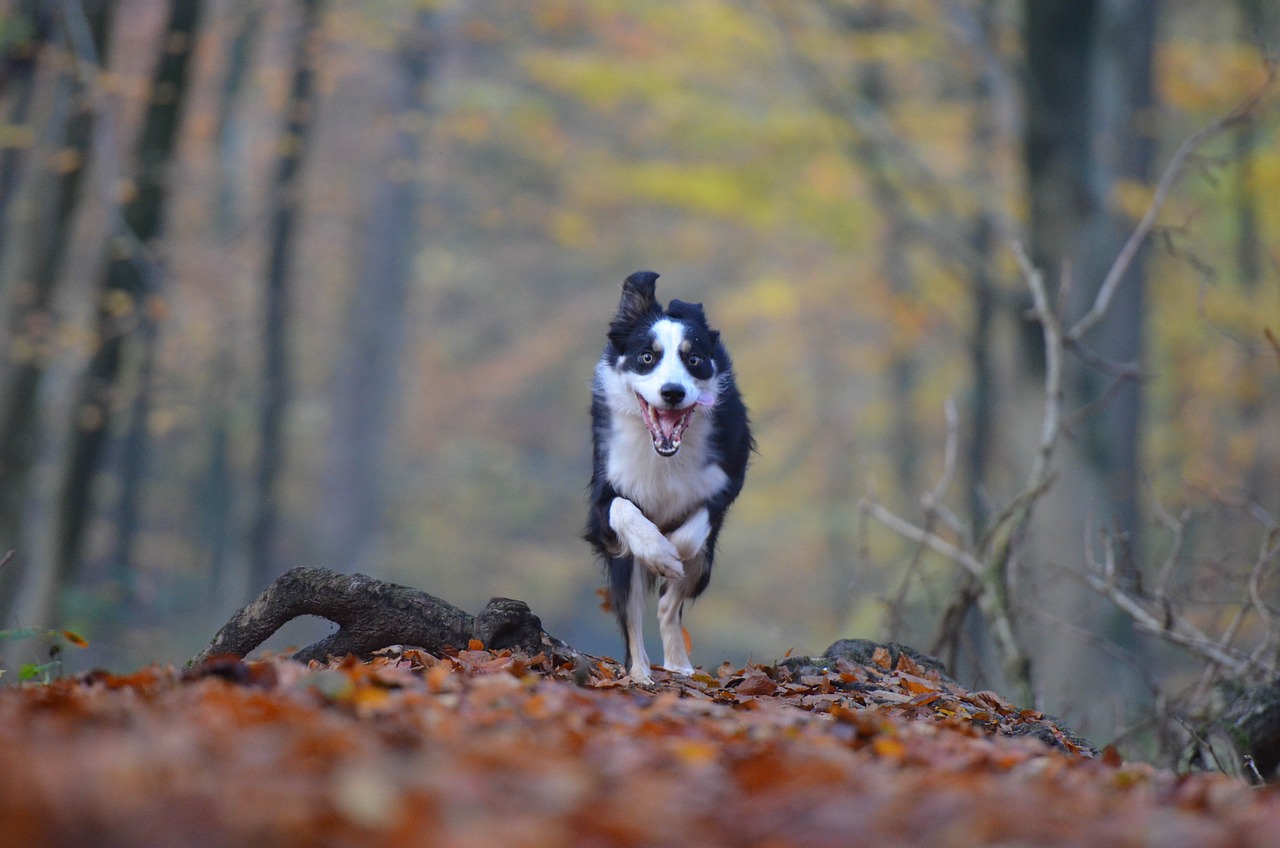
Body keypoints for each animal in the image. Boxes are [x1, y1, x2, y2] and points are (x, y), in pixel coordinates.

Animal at [586, 272, 752, 686]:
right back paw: (640, 674)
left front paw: (672, 551)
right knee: (632, 615)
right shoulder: (604, 492)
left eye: (693, 359)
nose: (673, 392)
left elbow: (693, 534)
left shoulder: (725, 481)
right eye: (648, 357)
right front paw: (659, 550)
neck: (665, 455)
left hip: (704, 567)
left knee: (667, 602)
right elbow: (623, 509)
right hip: (623, 565)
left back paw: (680, 665)